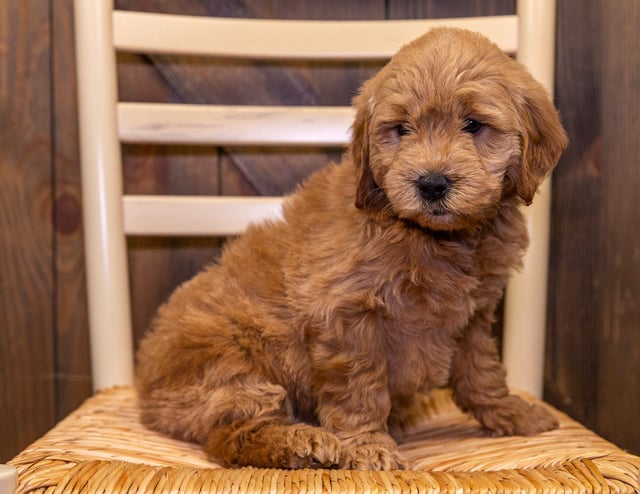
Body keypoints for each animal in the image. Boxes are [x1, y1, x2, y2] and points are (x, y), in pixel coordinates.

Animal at [138, 28, 568, 470]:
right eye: (402, 129)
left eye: (473, 125)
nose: (431, 183)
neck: (436, 236)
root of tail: (146, 393)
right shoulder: (345, 314)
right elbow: (359, 390)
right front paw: (368, 446)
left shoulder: (474, 317)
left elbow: (481, 371)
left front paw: (510, 411)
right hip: (233, 367)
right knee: (230, 435)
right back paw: (300, 443)